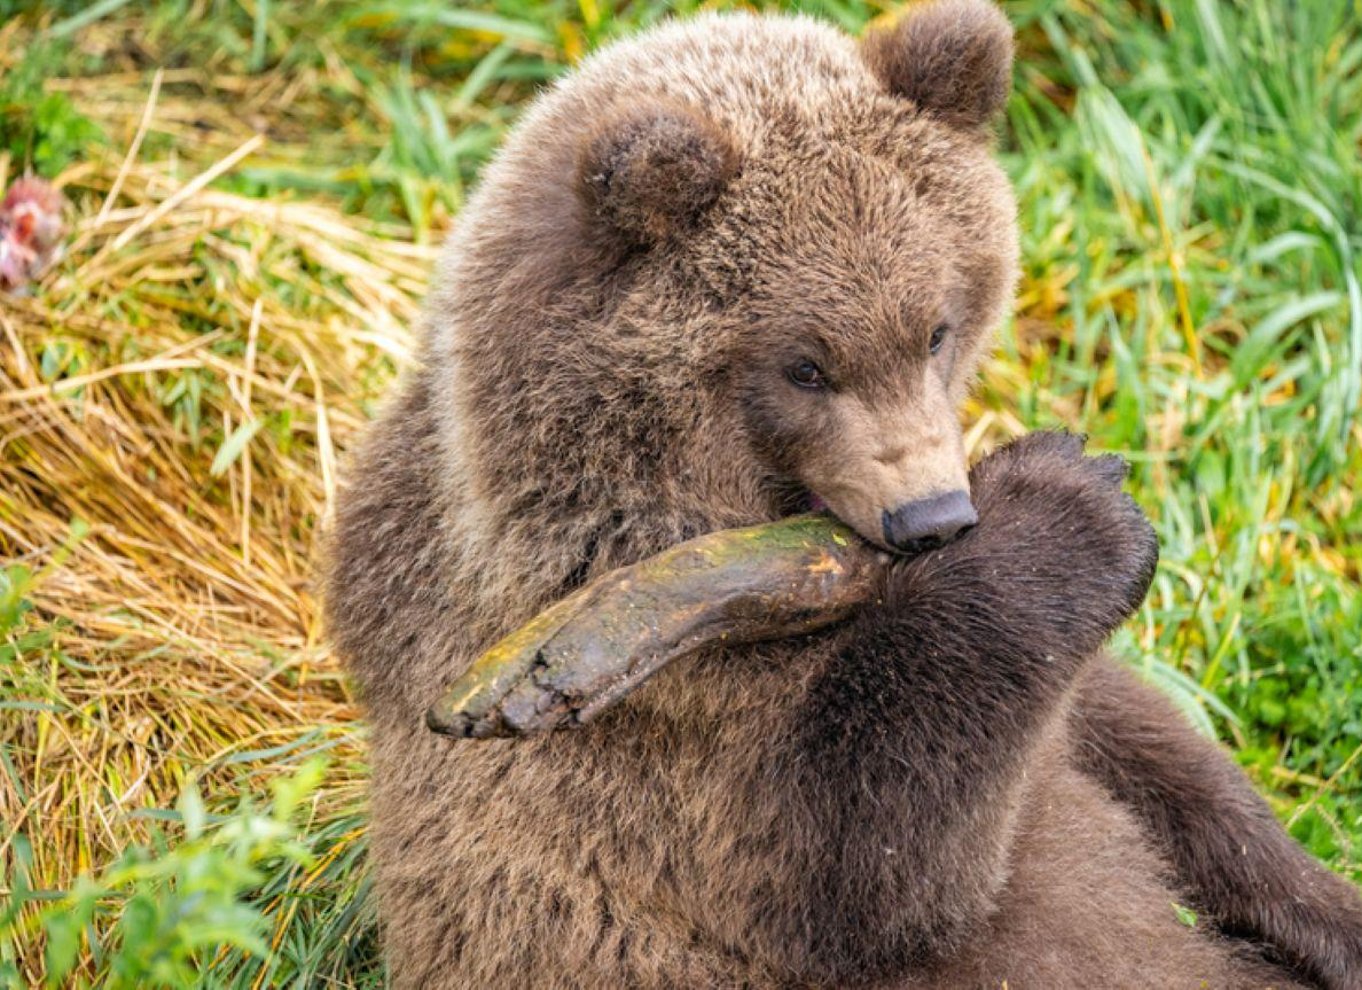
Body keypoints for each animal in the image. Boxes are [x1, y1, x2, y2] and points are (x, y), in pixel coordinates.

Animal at [325, 2, 1362, 987]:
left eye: (937, 327)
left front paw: (1323, 907)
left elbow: (1145, 748)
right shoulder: (640, 701)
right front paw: (1064, 513)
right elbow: (860, 861)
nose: (932, 517)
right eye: (805, 365)